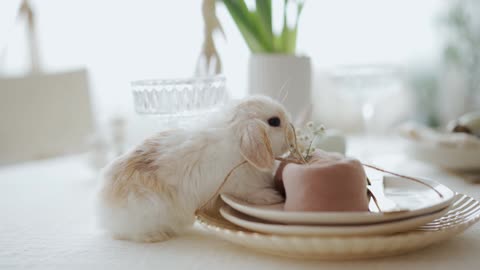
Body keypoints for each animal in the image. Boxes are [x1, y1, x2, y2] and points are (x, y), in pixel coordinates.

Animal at [96, 95, 294, 243]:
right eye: (274, 121)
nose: (292, 135)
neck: (234, 139)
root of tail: (104, 212)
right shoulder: (235, 186)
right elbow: (250, 193)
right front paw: (271, 196)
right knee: (128, 235)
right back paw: (156, 236)